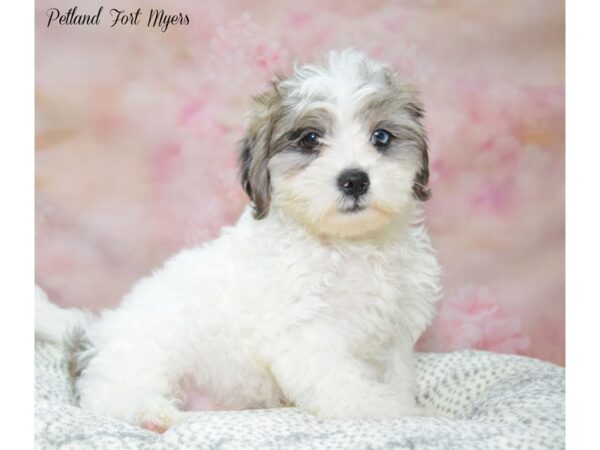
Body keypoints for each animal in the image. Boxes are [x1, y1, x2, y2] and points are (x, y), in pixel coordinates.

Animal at [36, 48, 440, 432]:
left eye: (381, 137)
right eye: (309, 139)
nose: (354, 180)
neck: (350, 245)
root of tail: (94, 331)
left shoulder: (394, 334)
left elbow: (396, 379)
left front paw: (404, 406)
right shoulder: (306, 334)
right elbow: (346, 385)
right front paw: (385, 412)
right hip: (143, 354)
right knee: (108, 396)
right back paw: (149, 414)